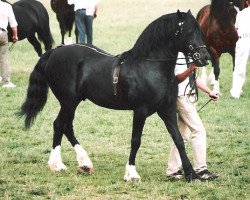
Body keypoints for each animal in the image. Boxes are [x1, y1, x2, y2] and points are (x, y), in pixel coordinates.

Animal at [20, 10, 211, 182]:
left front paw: (191, 174)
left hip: (73, 102)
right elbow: (136, 140)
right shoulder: (140, 111)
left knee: (67, 126)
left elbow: (178, 139)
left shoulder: (167, 110)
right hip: (68, 101)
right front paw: (131, 174)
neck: (149, 67)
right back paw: (57, 165)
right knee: (59, 124)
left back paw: (84, 163)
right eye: (188, 32)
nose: (205, 58)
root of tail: (55, 52)